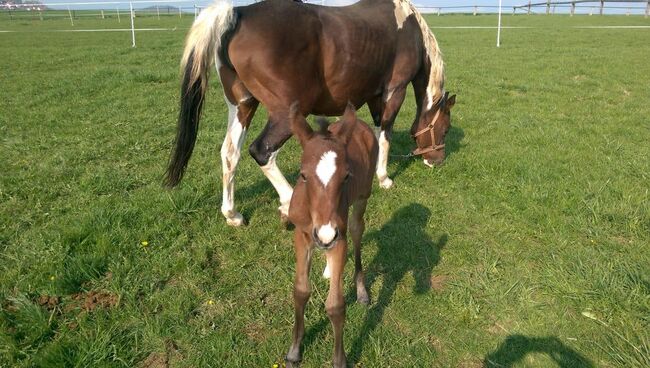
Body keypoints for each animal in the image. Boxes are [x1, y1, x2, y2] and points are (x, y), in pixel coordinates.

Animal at [165, 0, 454, 227]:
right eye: (445, 128)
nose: (437, 160)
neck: (409, 28)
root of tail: (239, 13)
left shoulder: (374, 96)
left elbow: (375, 132)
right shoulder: (395, 91)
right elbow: (385, 133)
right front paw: (384, 178)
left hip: (243, 105)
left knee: (229, 154)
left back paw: (232, 214)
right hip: (286, 114)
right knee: (262, 151)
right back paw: (288, 202)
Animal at [284, 103, 380, 368]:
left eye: (346, 176)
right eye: (303, 175)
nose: (326, 234)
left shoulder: (339, 237)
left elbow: (336, 305)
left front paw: (339, 359)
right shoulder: (302, 235)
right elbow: (300, 290)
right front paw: (294, 350)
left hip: (362, 198)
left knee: (358, 230)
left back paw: (361, 290)